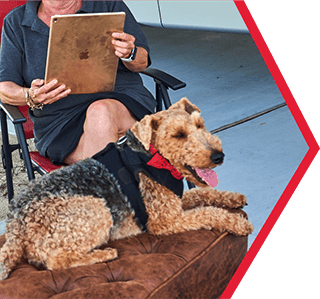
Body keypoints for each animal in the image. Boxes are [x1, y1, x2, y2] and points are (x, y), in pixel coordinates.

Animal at [0, 98, 252, 282]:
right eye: (179, 135)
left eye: (200, 125)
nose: (218, 156)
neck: (154, 158)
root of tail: (13, 224)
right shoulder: (165, 220)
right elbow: (208, 212)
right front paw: (237, 223)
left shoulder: (175, 200)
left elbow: (204, 194)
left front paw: (233, 198)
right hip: (97, 209)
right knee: (55, 261)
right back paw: (104, 254)